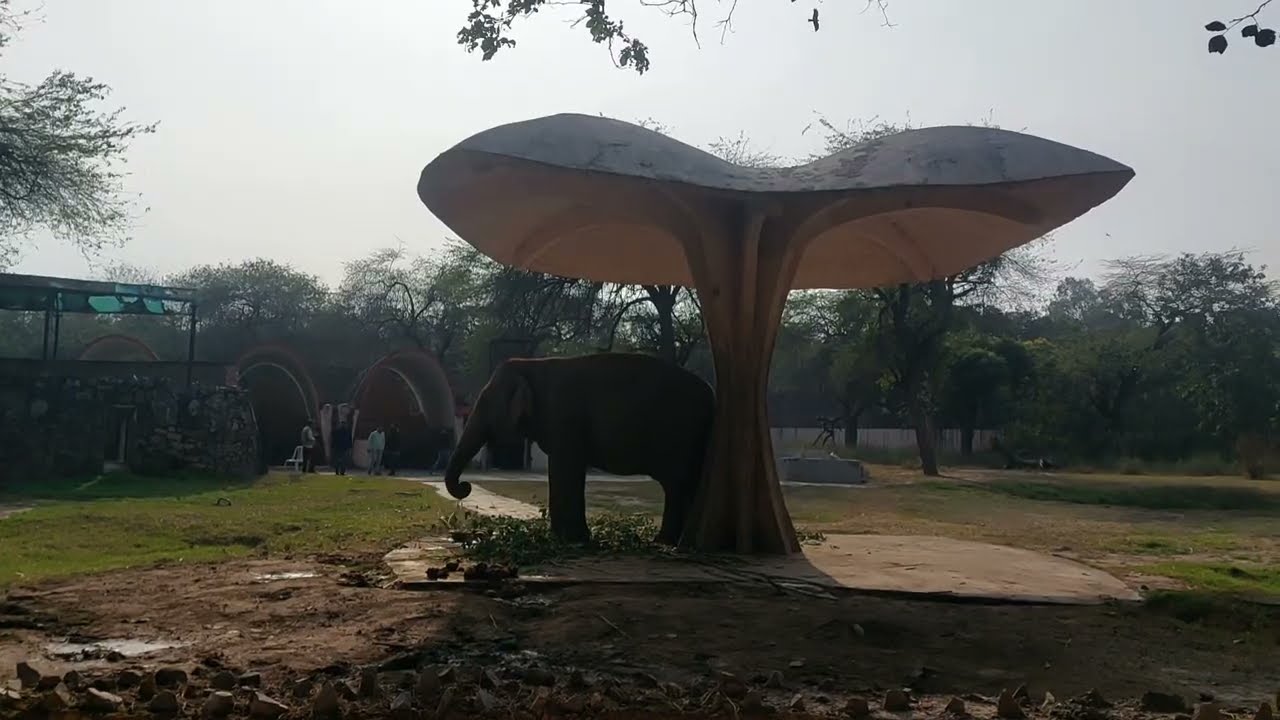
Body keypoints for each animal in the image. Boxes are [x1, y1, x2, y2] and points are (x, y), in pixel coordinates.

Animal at [443, 352, 715, 545]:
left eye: (485, 402)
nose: (465, 486)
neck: (533, 364)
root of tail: (712, 394)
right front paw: (569, 538)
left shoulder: (564, 418)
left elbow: (566, 469)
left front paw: (569, 539)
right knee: (679, 485)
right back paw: (670, 540)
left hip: (681, 433)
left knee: (676, 484)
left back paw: (664, 541)